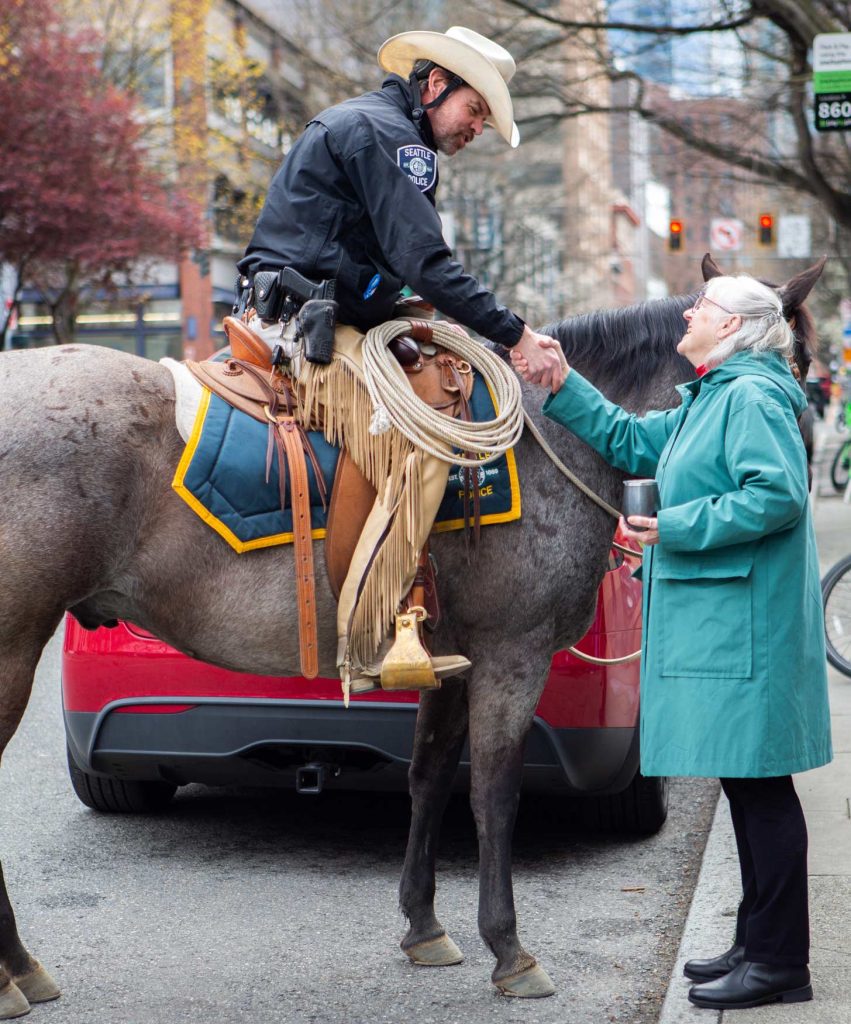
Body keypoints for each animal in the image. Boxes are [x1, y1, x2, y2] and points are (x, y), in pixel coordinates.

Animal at [0, 253, 827, 1007]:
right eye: (804, 364)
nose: (802, 468)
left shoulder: (448, 659)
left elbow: (428, 777)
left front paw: (423, 926)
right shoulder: (512, 657)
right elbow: (494, 793)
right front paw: (509, 950)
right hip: (13, 652)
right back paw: (17, 969)